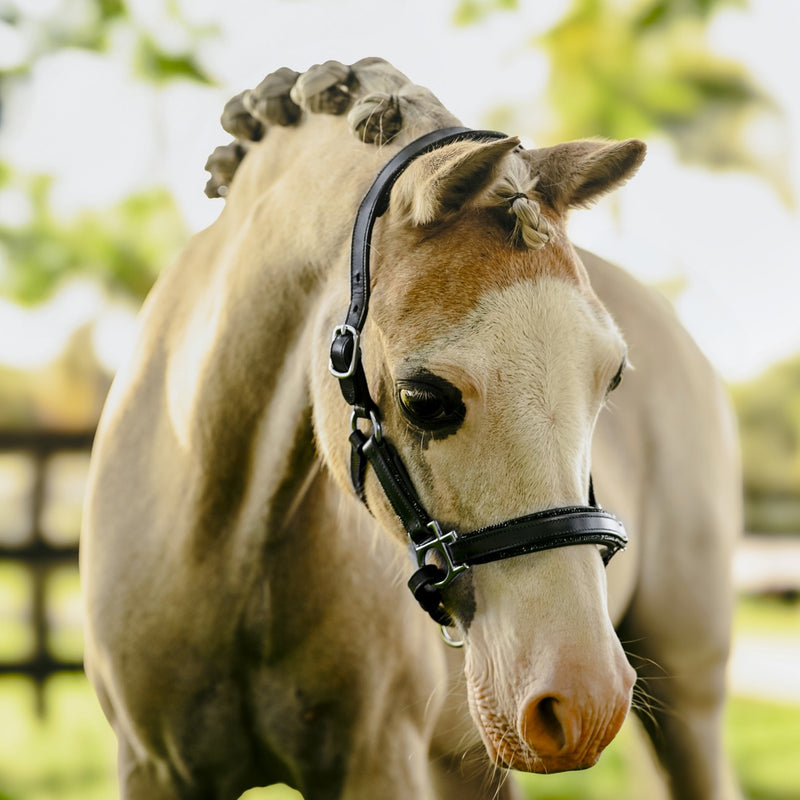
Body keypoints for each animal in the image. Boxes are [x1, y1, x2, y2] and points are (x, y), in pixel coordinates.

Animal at [81, 57, 744, 800]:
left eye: (613, 379)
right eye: (424, 399)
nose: (583, 698)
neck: (222, 543)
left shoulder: (380, 764)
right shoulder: (154, 768)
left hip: (687, 699)